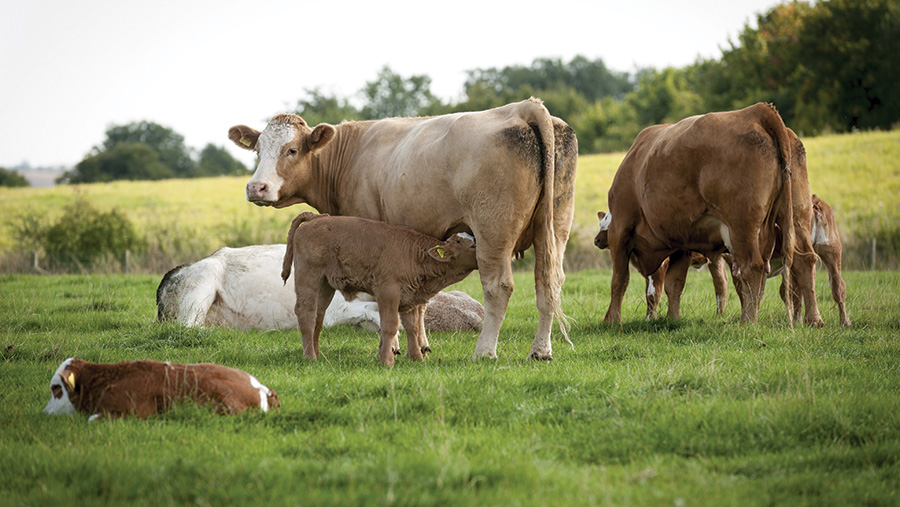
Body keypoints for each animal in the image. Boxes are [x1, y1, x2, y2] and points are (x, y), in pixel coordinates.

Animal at [284, 212, 482, 368]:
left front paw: (417, 358)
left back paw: (317, 353)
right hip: (308, 276)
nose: (480, 247)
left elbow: (412, 327)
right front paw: (387, 361)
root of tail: (317, 217)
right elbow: (390, 325)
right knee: (306, 312)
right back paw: (309, 356)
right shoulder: (388, 292)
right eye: (460, 241)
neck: (414, 254)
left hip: (326, 285)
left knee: (318, 315)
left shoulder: (409, 297)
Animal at [600, 103, 792, 326]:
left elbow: (619, 280)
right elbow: (674, 283)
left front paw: (611, 320)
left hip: (742, 228)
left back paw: (747, 322)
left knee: (752, 268)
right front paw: (672, 318)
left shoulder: (620, 228)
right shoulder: (681, 242)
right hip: (765, 230)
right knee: (758, 277)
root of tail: (756, 111)